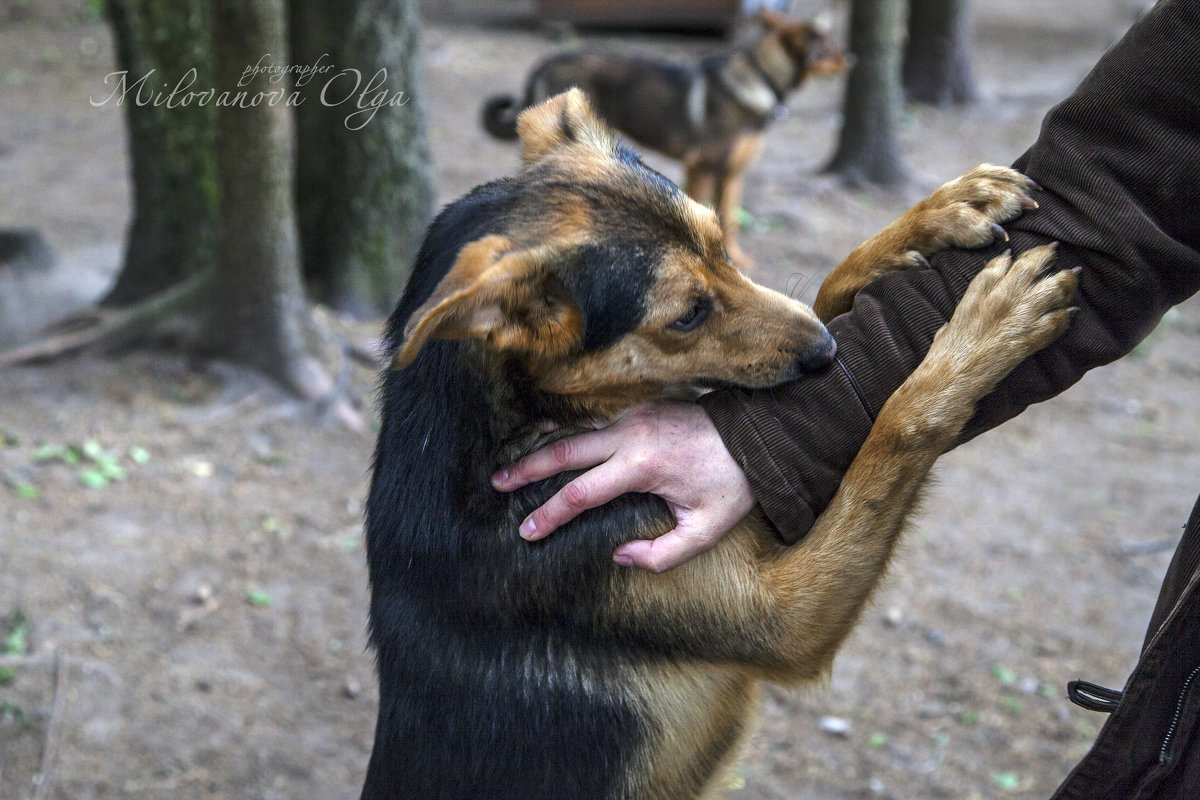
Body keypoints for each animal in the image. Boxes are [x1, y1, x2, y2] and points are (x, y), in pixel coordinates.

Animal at [360, 89, 1075, 800]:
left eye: (720, 241)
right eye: (687, 315)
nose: (827, 353)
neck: (517, 431)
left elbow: (832, 288)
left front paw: (943, 211)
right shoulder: (786, 619)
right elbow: (898, 425)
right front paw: (985, 331)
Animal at [482, 11, 849, 268]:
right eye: (831, 49)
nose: (854, 58)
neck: (761, 77)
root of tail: (546, 62)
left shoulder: (732, 174)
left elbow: (730, 219)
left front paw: (737, 258)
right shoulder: (700, 167)